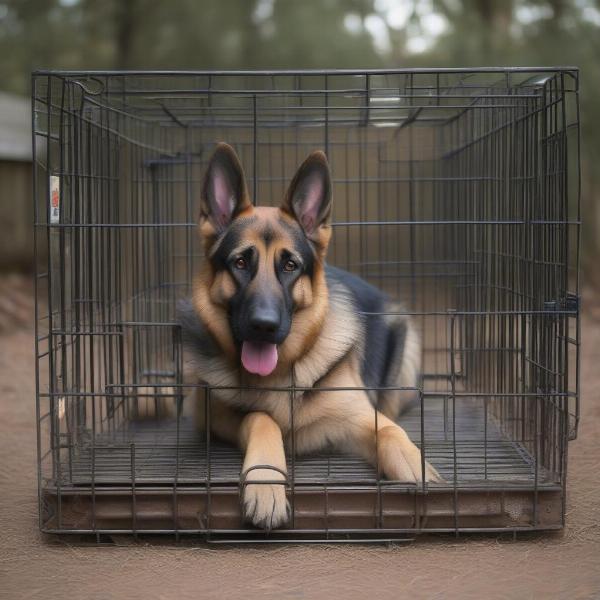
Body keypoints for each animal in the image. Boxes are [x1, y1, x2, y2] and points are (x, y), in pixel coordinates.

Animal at [178, 144, 440, 528]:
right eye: (240, 263)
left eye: (290, 266)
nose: (264, 325)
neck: (282, 373)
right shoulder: (212, 414)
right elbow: (261, 417)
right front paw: (266, 484)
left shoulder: (357, 417)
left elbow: (387, 429)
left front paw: (413, 461)